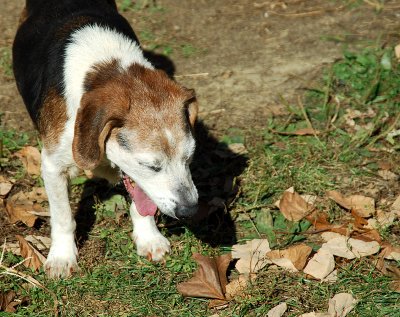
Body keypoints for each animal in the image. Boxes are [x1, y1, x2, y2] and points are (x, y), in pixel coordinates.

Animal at [12, 0, 198, 276]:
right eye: (150, 166)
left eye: (190, 158)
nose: (190, 210)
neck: (109, 66)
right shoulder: (53, 167)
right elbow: (63, 216)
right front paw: (62, 257)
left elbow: (139, 201)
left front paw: (148, 237)